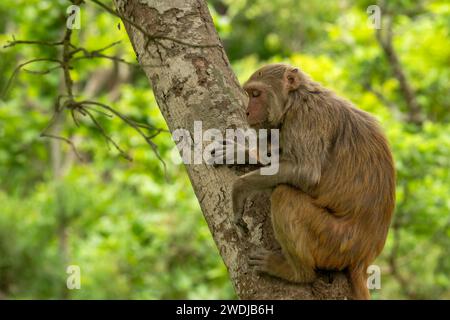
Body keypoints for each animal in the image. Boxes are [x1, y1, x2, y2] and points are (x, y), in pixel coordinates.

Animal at [210, 63, 394, 300]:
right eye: (249, 94)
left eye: (256, 94)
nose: (248, 112)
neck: (296, 99)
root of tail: (363, 258)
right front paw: (240, 152)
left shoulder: (307, 118)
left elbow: (306, 173)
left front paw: (239, 189)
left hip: (333, 241)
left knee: (284, 195)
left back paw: (296, 272)